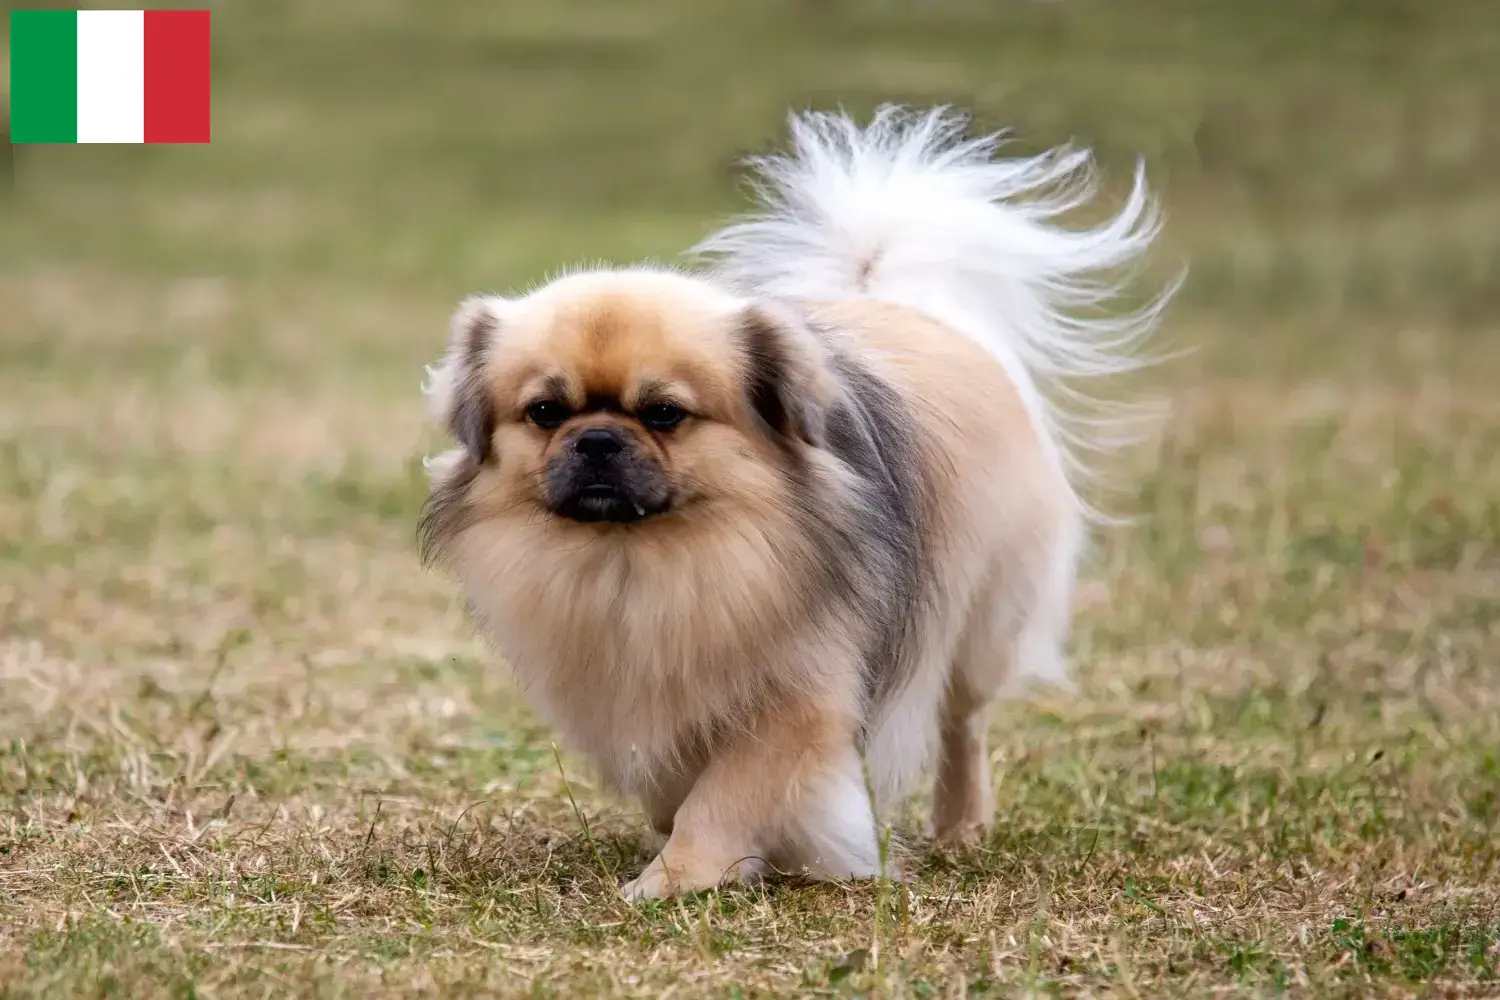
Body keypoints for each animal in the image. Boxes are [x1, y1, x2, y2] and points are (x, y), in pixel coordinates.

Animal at [423, 107, 1170, 899]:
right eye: (544, 412)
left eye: (663, 414)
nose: (596, 439)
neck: (647, 561)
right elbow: (673, 784)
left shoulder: (797, 696)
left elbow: (724, 797)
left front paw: (678, 877)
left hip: (982, 629)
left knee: (963, 726)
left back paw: (963, 825)